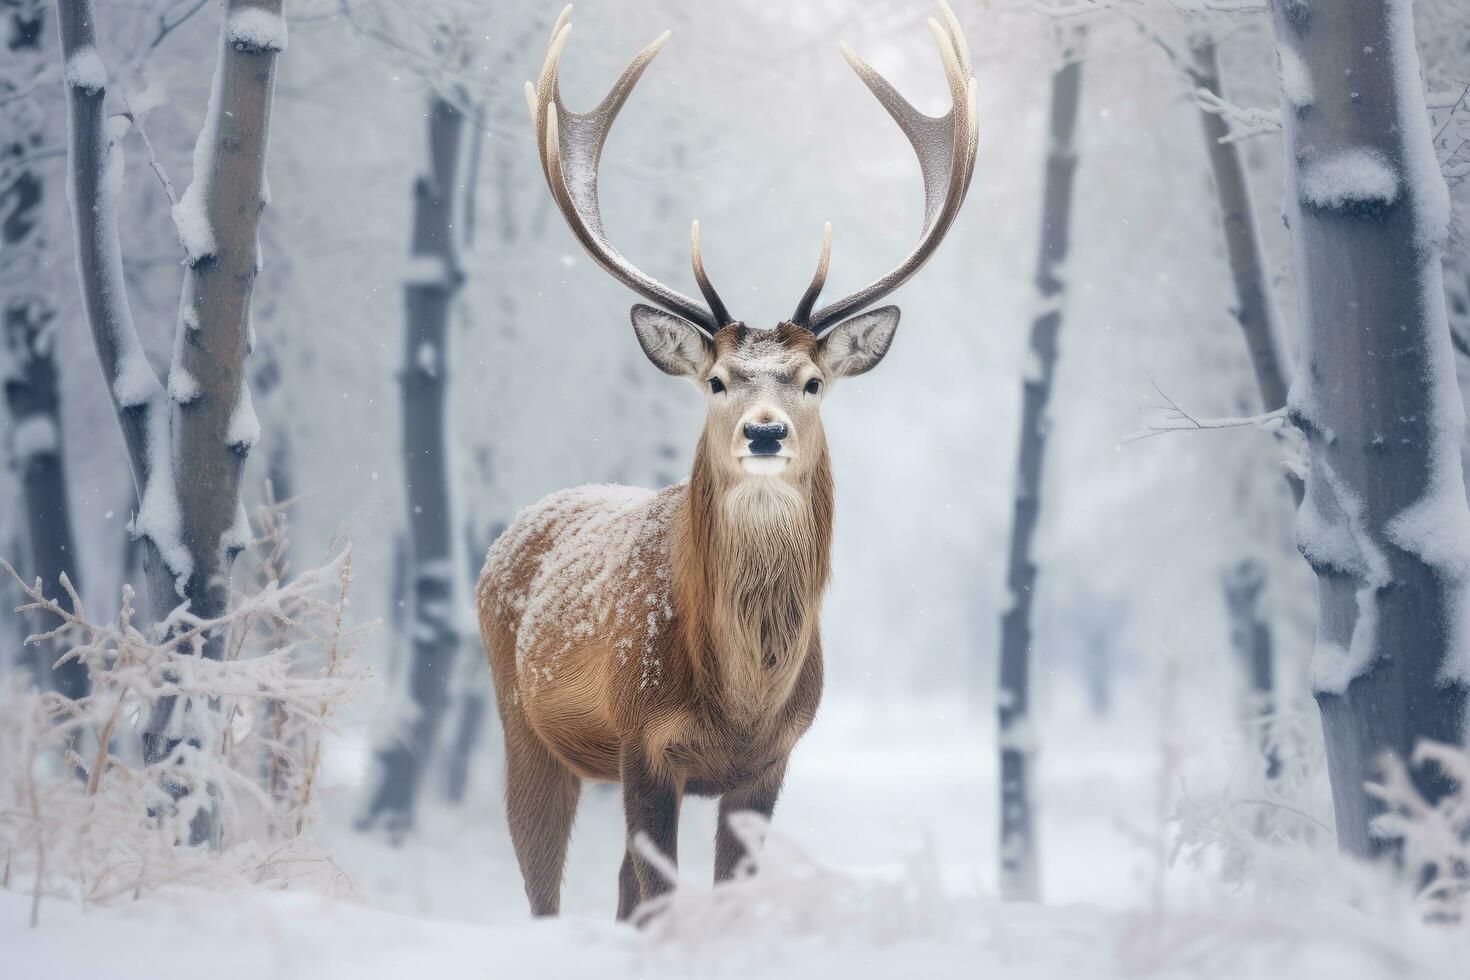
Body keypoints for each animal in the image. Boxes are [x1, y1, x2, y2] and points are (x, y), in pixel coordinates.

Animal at [479, 1, 976, 922]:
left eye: (813, 380)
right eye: (715, 380)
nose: (766, 432)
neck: (742, 701)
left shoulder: (772, 761)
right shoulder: (644, 740)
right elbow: (658, 898)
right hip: (520, 720)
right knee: (542, 884)